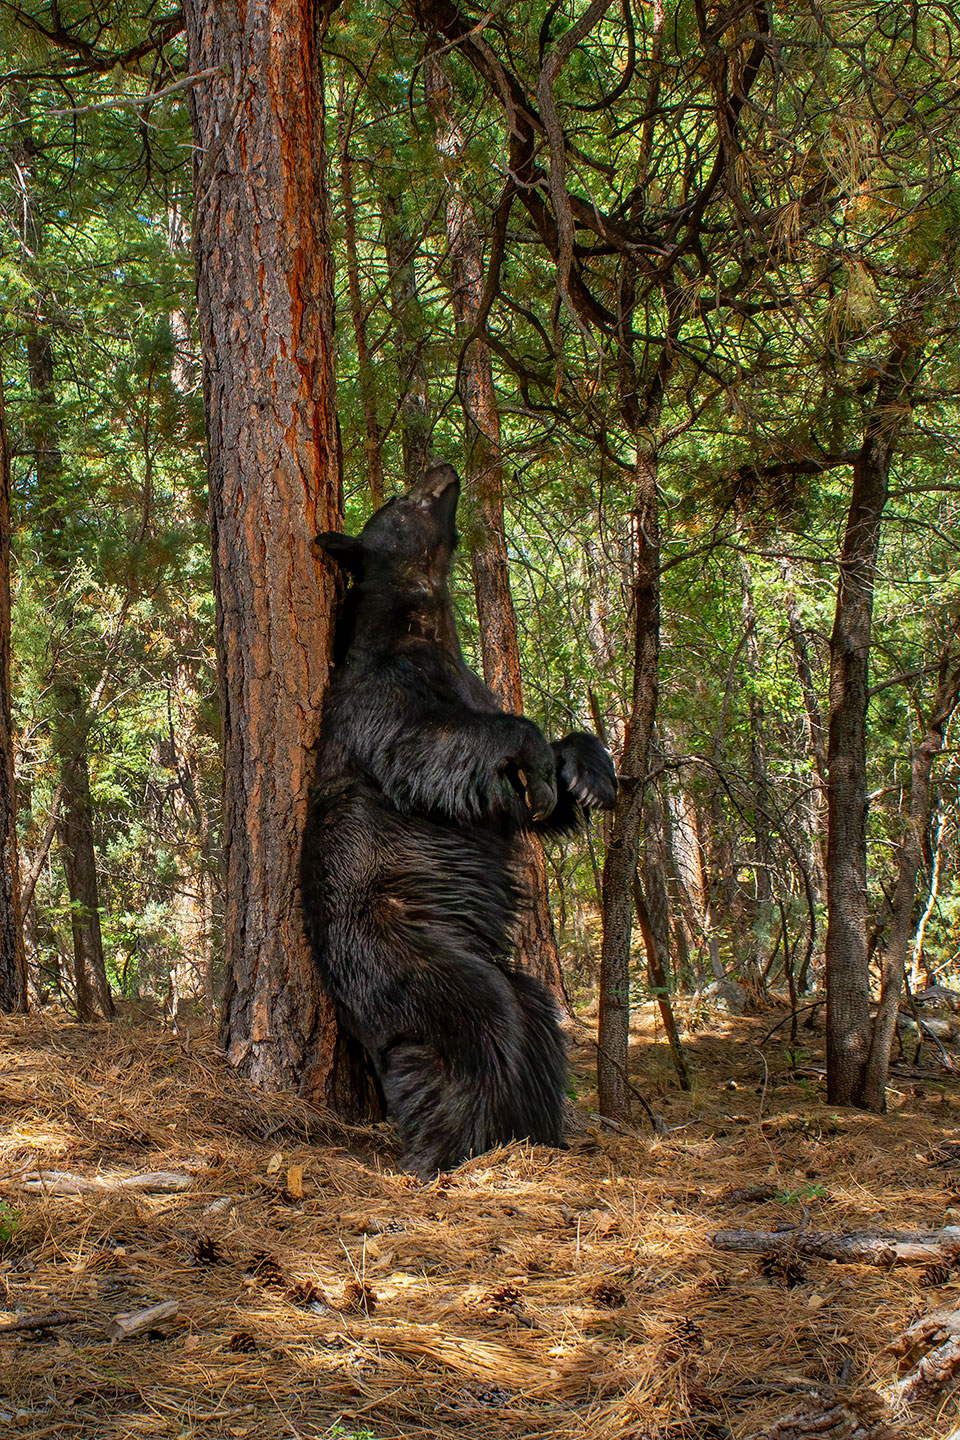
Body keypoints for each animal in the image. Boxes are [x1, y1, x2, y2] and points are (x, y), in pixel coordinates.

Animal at [300, 466, 616, 1175]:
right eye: (399, 498)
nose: (442, 469)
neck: (426, 624)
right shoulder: (382, 695)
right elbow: (428, 746)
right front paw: (537, 755)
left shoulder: (465, 680)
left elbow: (517, 800)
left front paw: (585, 772)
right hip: (400, 950)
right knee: (477, 1027)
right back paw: (453, 1149)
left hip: (488, 970)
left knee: (534, 1017)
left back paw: (537, 1129)